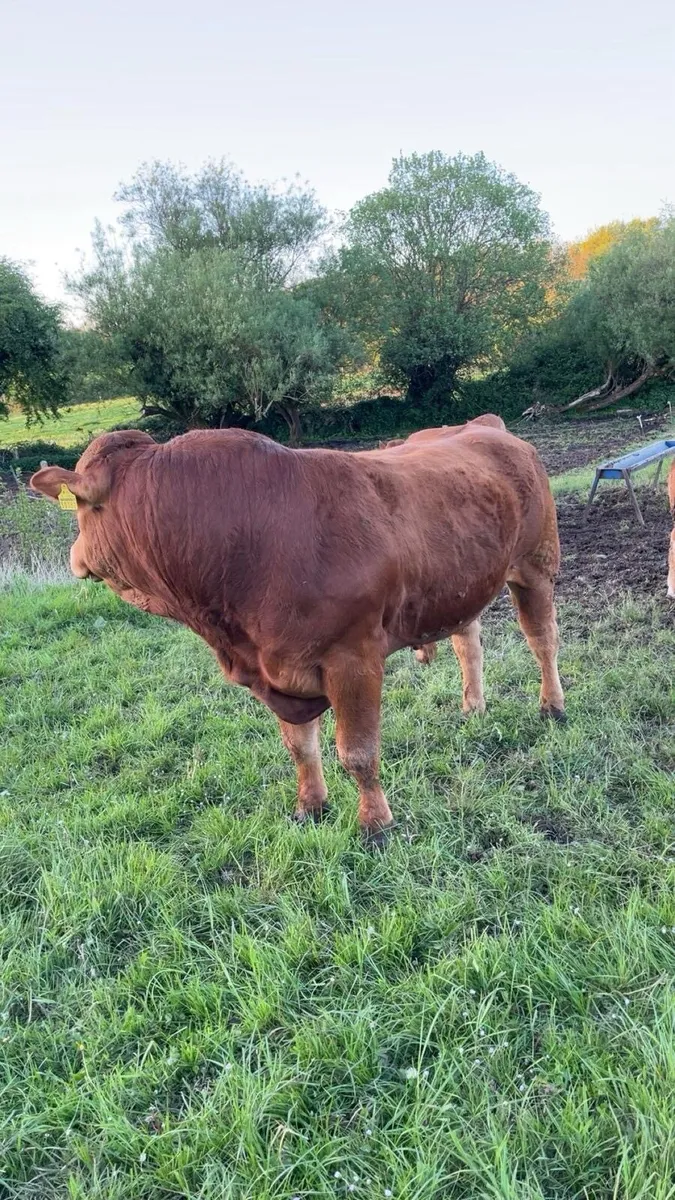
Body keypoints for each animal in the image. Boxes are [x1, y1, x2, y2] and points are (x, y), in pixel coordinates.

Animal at [30, 424, 564, 846]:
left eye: (81, 510)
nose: (74, 556)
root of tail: (488, 427)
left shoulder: (354, 657)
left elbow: (358, 752)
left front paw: (376, 825)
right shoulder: (277, 667)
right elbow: (300, 746)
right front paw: (311, 806)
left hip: (536, 565)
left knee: (542, 639)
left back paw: (552, 706)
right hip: (460, 582)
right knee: (467, 640)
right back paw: (473, 706)